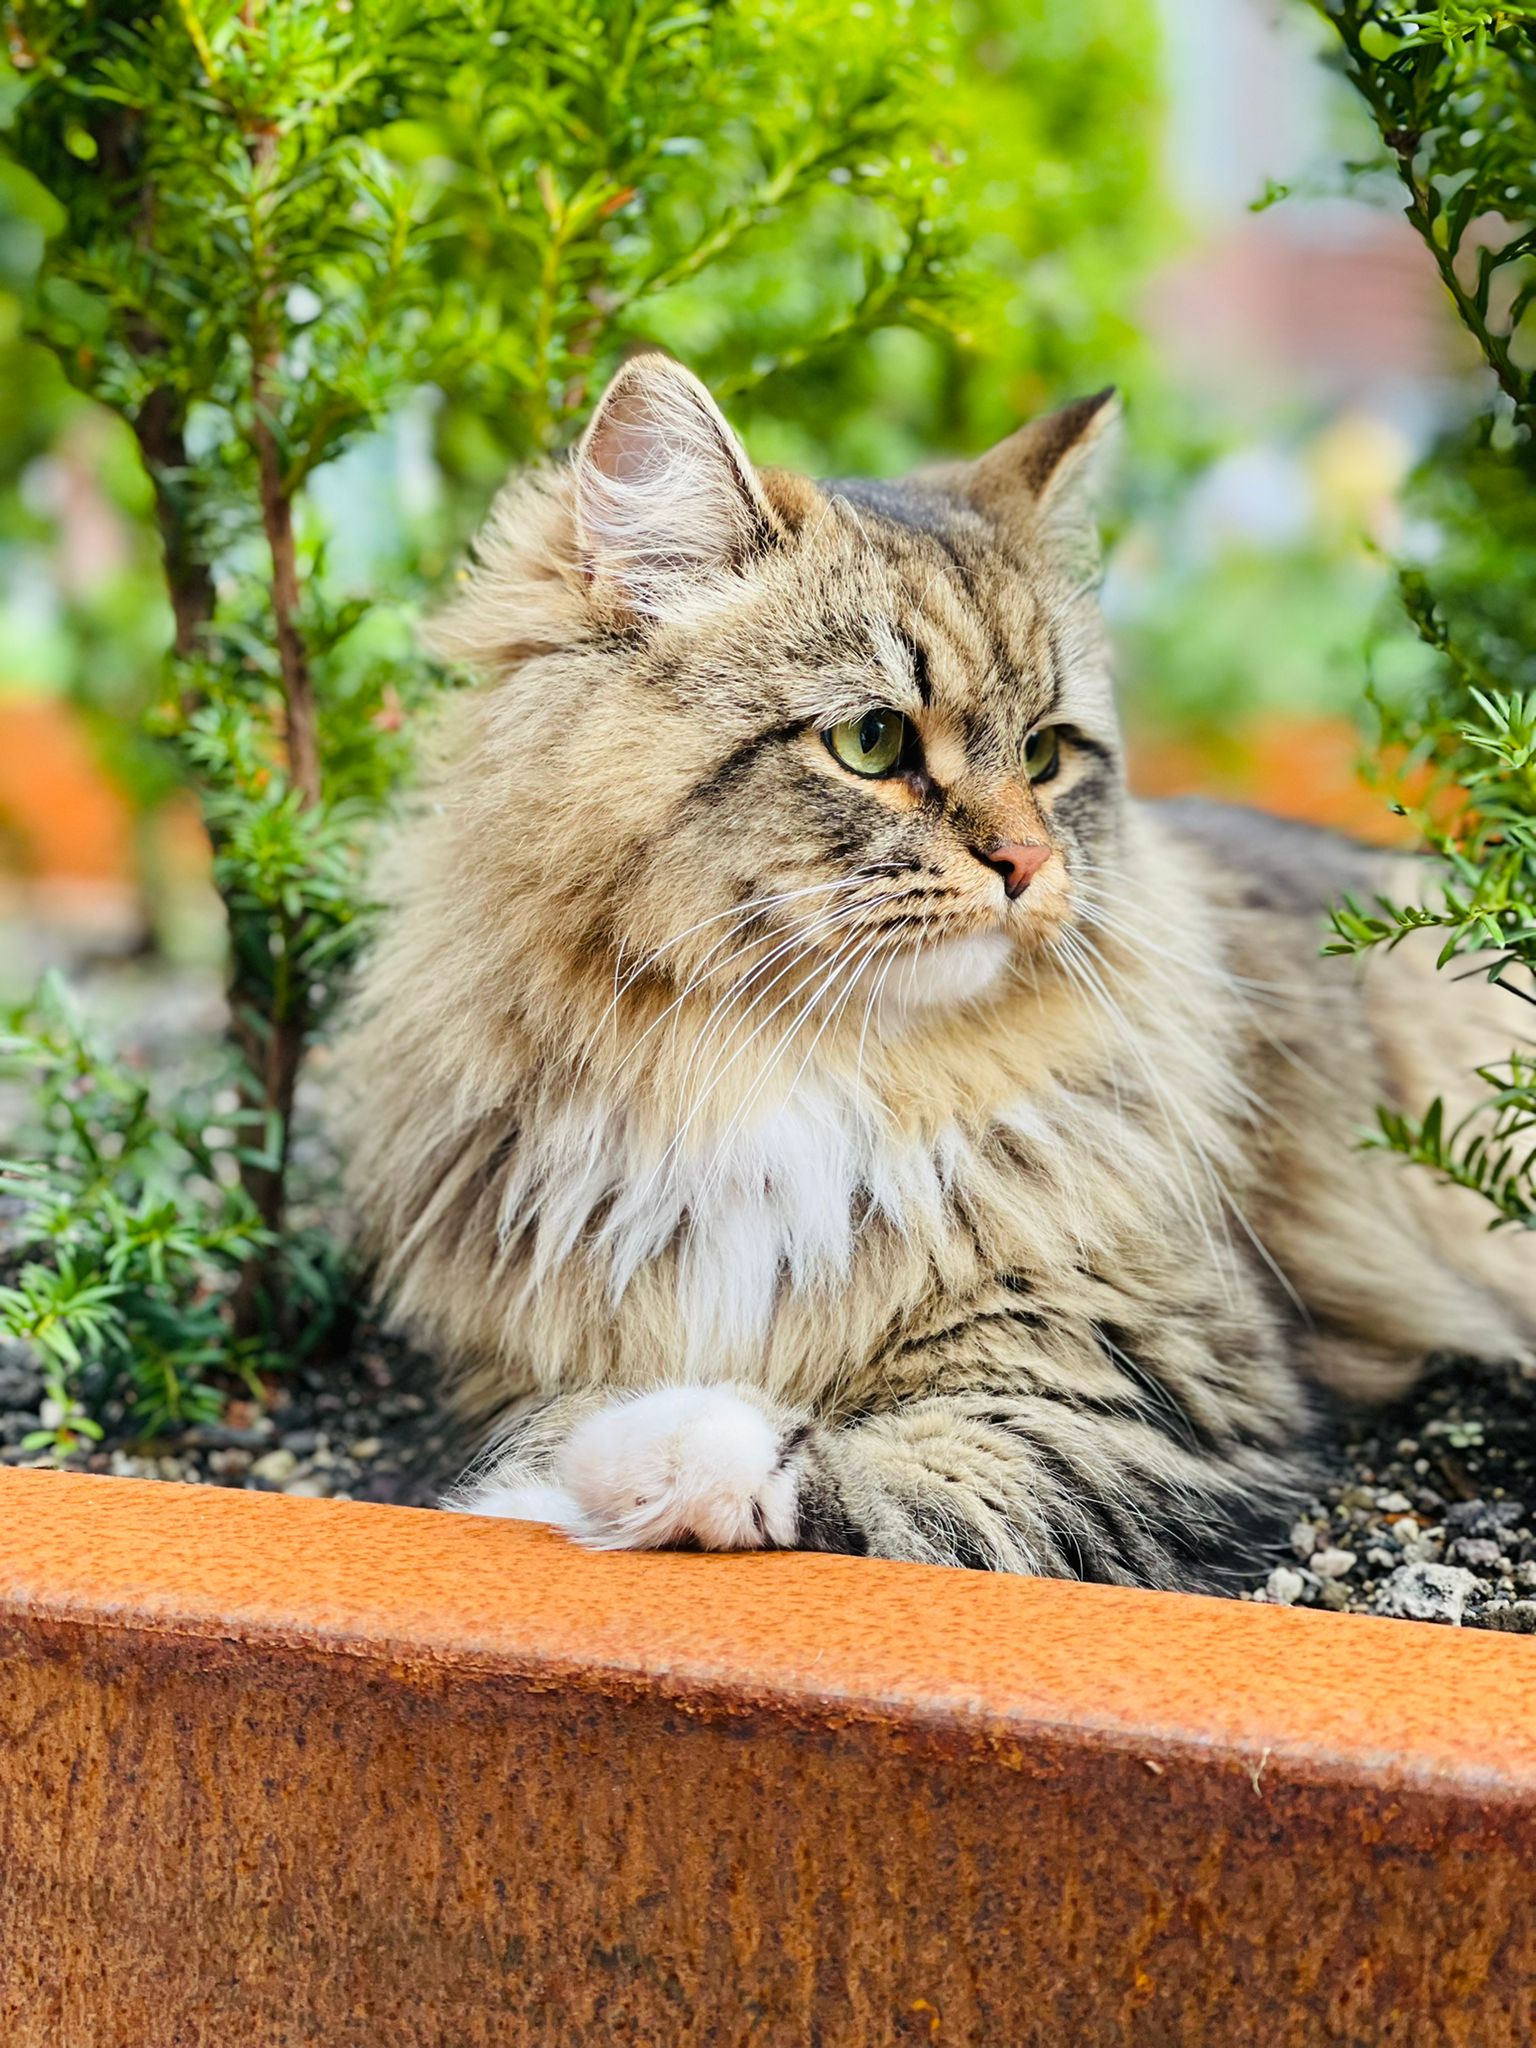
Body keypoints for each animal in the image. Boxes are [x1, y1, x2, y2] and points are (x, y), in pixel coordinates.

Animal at [338, 350, 1533, 1590]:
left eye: (1046, 754)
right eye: (872, 742)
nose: (1028, 861)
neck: (785, 1070)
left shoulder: (1139, 1378)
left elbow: (882, 1488)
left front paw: (629, 1467)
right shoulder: (529, 1349)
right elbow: (561, 1420)